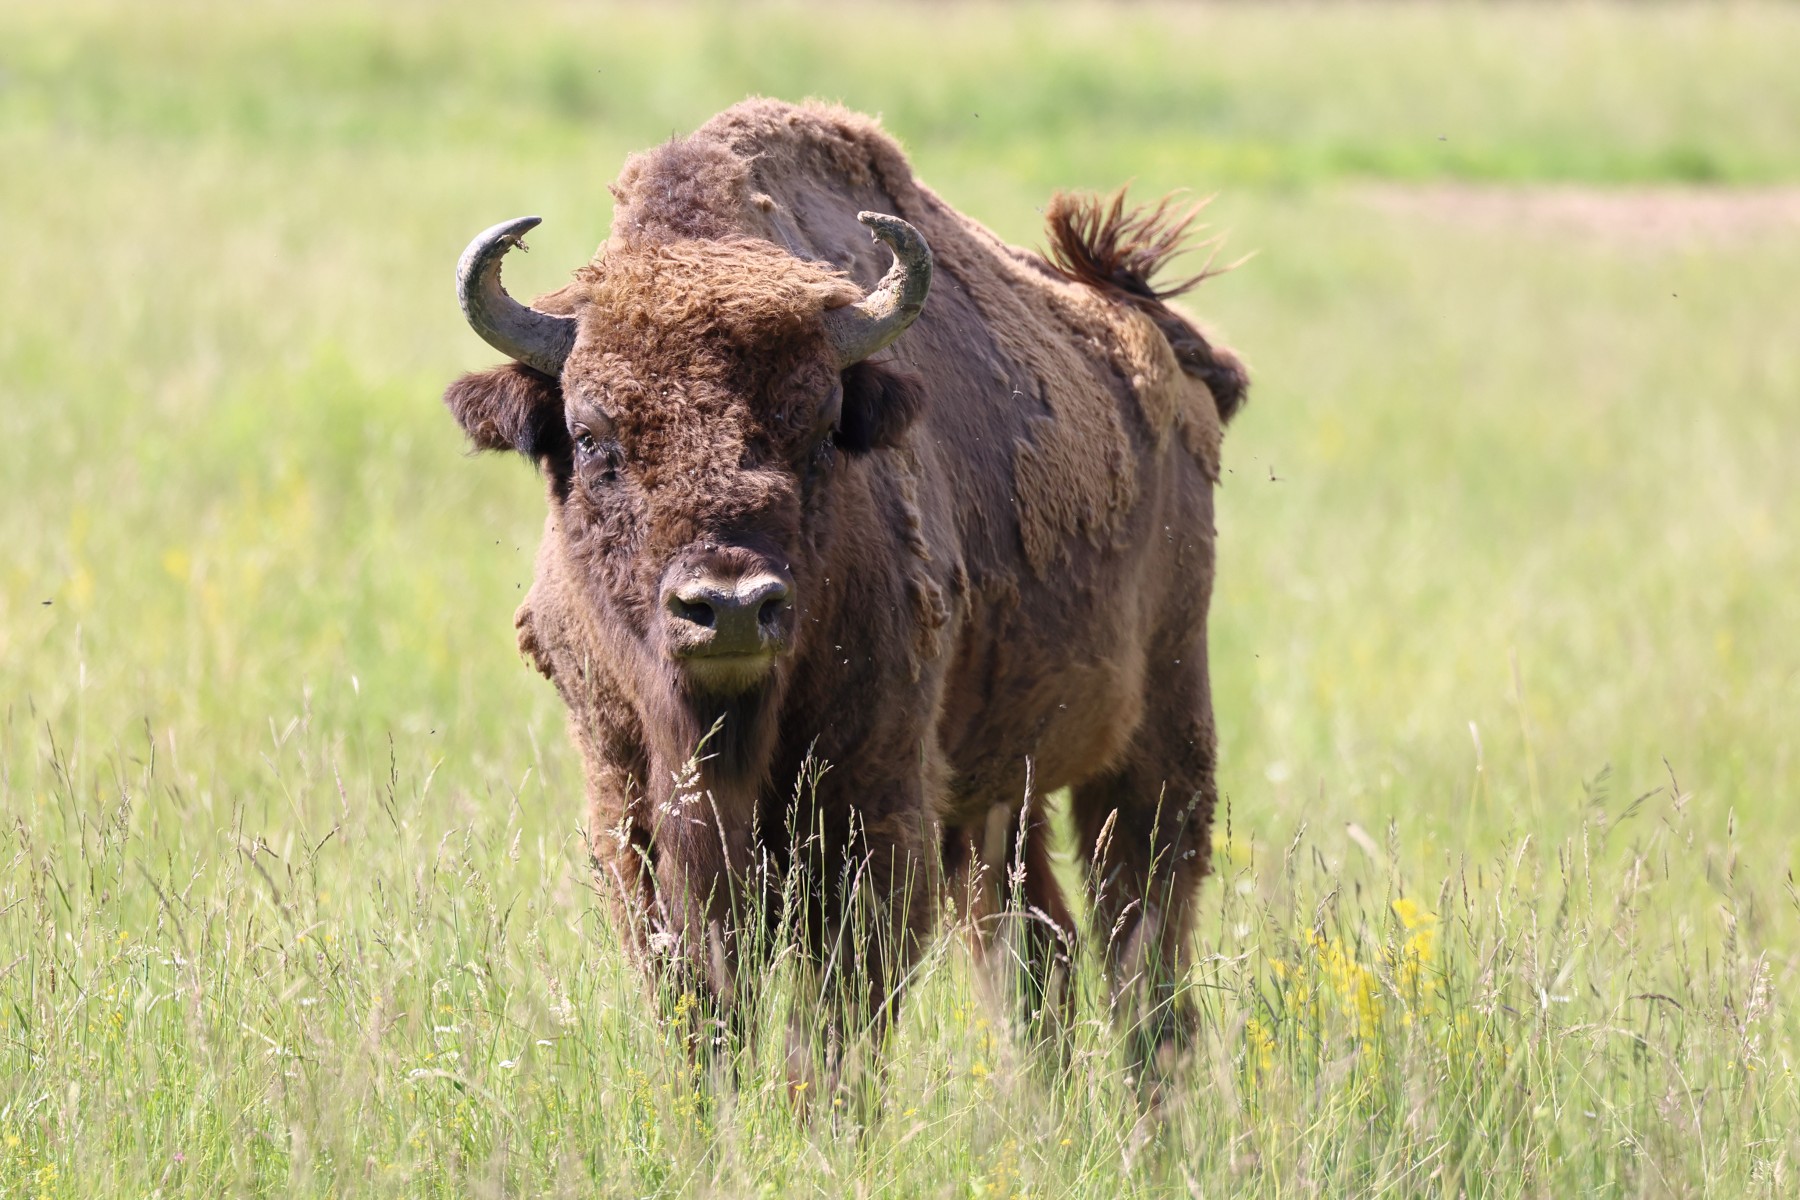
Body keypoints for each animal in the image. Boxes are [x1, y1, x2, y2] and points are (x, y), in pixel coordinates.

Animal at [444, 99, 1247, 1094]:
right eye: (594, 436)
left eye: (823, 427)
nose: (731, 606)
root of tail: (1166, 344)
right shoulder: (631, 806)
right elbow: (700, 1006)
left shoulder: (872, 809)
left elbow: (834, 1016)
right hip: (997, 795)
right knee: (1039, 953)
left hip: (1157, 735)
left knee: (1142, 932)